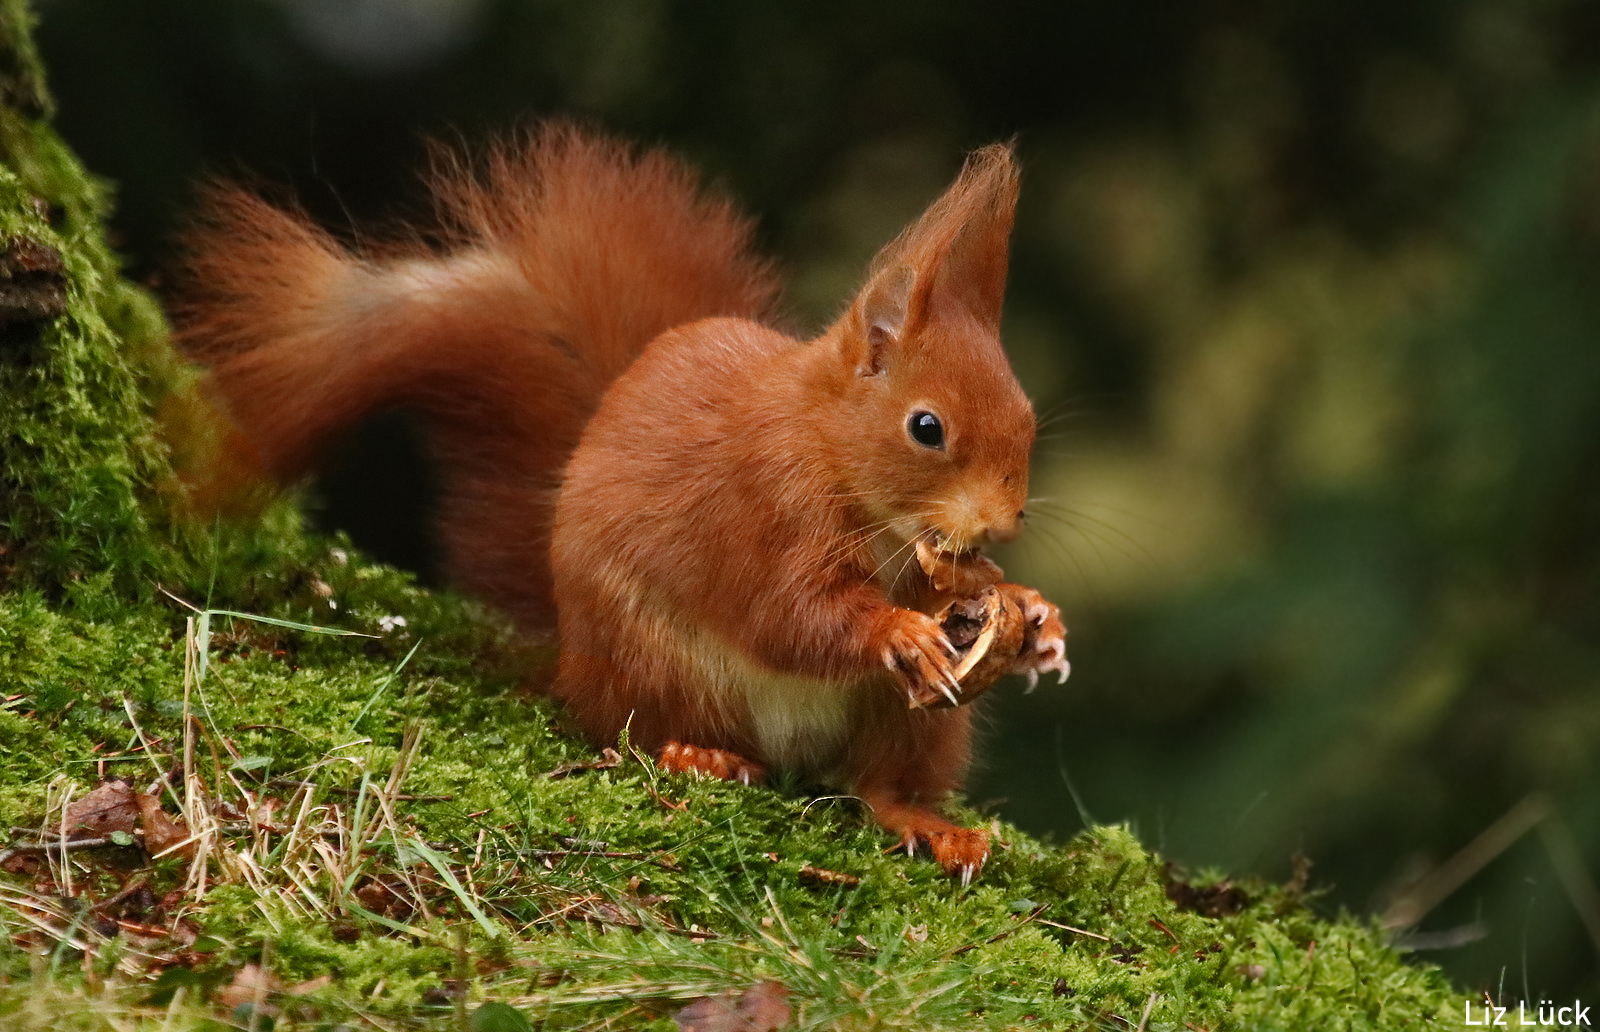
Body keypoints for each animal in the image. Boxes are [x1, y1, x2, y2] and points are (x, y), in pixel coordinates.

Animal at [175, 120, 1068, 876]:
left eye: (1027, 419)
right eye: (927, 427)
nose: (1002, 524)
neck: (835, 461)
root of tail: (572, 661)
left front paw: (1034, 617)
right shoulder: (757, 506)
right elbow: (788, 613)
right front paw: (898, 630)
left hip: (916, 721)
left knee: (876, 783)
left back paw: (927, 821)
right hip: (655, 659)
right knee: (631, 732)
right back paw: (697, 754)